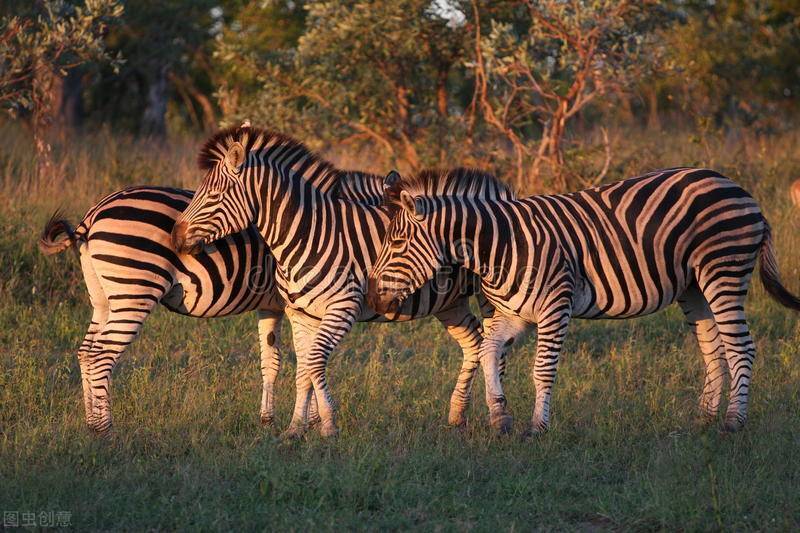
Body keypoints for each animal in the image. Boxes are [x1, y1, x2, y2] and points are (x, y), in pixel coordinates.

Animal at [170, 127, 506, 438]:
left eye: (213, 196)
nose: (174, 238)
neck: (307, 235)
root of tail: (503, 193)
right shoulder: (300, 313)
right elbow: (304, 368)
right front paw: (296, 428)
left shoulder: (342, 308)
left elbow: (316, 361)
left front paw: (328, 425)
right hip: (450, 302)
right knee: (475, 343)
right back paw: (458, 415)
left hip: (494, 293)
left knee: (495, 348)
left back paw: (498, 416)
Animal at [368, 166, 800, 432]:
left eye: (398, 243)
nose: (373, 298)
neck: (500, 245)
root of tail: (737, 187)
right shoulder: (512, 314)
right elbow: (489, 351)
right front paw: (499, 417)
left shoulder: (554, 307)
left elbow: (542, 369)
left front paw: (537, 428)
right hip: (694, 287)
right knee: (714, 348)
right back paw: (704, 419)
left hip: (722, 271)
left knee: (741, 347)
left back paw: (733, 422)